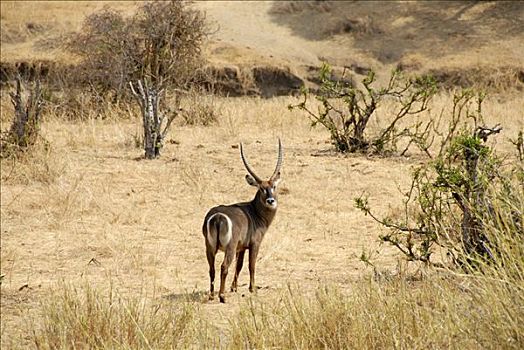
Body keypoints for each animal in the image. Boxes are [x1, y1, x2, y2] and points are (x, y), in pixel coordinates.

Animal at [203, 138, 282, 302]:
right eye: (261, 188)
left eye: (274, 186)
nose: (271, 201)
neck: (254, 212)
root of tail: (218, 217)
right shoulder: (254, 244)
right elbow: (251, 265)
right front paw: (253, 289)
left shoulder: (241, 247)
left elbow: (239, 266)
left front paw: (234, 288)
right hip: (230, 247)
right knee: (224, 266)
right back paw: (222, 296)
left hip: (209, 246)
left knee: (211, 268)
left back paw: (212, 295)